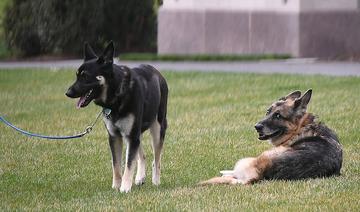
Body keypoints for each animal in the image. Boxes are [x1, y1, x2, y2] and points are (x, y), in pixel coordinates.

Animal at [65, 41, 168, 192]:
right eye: (77, 75)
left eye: (85, 76)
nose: (68, 93)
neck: (117, 92)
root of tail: (157, 73)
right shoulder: (115, 137)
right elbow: (116, 164)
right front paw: (116, 186)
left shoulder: (131, 136)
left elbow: (129, 164)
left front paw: (125, 188)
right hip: (135, 134)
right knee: (142, 155)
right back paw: (140, 177)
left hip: (157, 129)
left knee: (157, 159)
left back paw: (156, 181)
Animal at [200, 89, 344, 186]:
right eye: (268, 112)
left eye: (278, 116)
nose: (257, 126)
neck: (300, 128)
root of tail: (260, 175)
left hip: (251, 159)